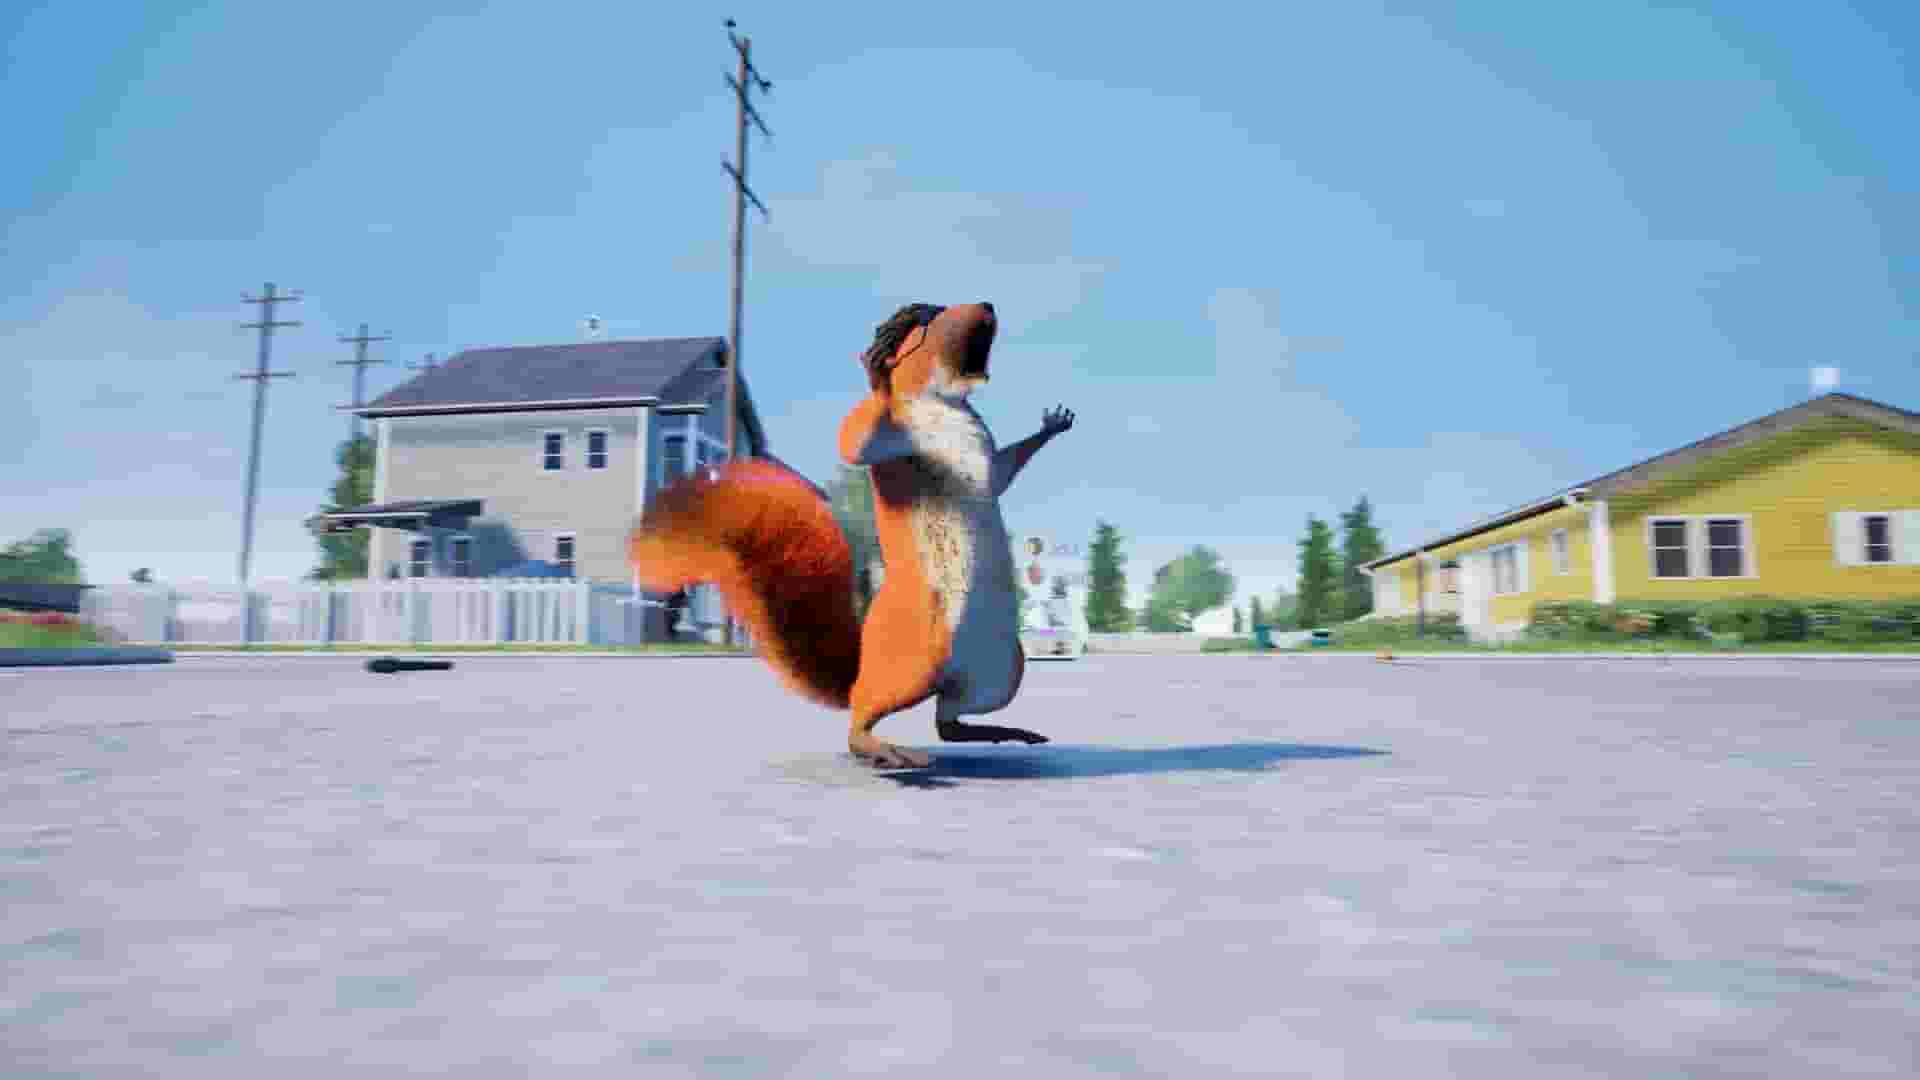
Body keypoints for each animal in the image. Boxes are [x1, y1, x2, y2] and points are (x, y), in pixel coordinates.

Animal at [628, 301, 1074, 768]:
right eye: (928, 319)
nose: (986, 305)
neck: (944, 402)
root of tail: (863, 671)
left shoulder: (985, 453)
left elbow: (1000, 473)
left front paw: (1052, 425)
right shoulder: (892, 434)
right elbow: (857, 440)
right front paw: (876, 375)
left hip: (998, 671)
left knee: (947, 722)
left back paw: (1005, 732)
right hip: (914, 663)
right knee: (863, 718)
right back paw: (886, 751)